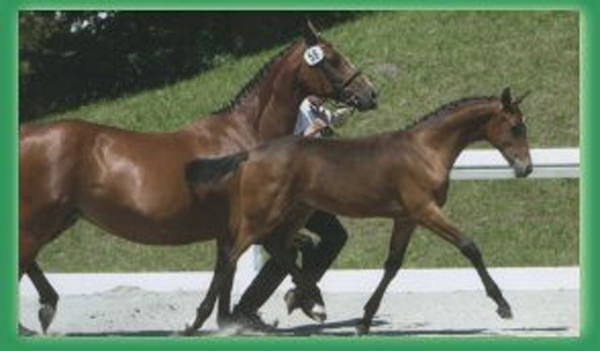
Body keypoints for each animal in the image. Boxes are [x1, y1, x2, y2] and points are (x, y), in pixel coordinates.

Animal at [19, 20, 376, 334]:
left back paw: (45, 309)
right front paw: (311, 303)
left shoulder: (228, 227)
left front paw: (227, 320)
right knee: (23, 259)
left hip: (60, 218)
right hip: (41, 219)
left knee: (27, 261)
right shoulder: (247, 223)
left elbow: (229, 270)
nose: (371, 94)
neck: (244, 135)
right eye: (331, 59)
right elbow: (271, 253)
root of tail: (27, 135)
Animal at [188, 88, 536, 336]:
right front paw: (503, 305)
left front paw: (365, 320)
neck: (424, 151)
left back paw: (310, 303)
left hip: (296, 211)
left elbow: (392, 265)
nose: (526, 169)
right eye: (516, 127)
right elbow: (469, 246)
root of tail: (250, 153)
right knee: (231, 256)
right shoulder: (425, 210)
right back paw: (198, 322)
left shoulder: (406, 218)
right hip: (263, 213)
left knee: (277, 248)